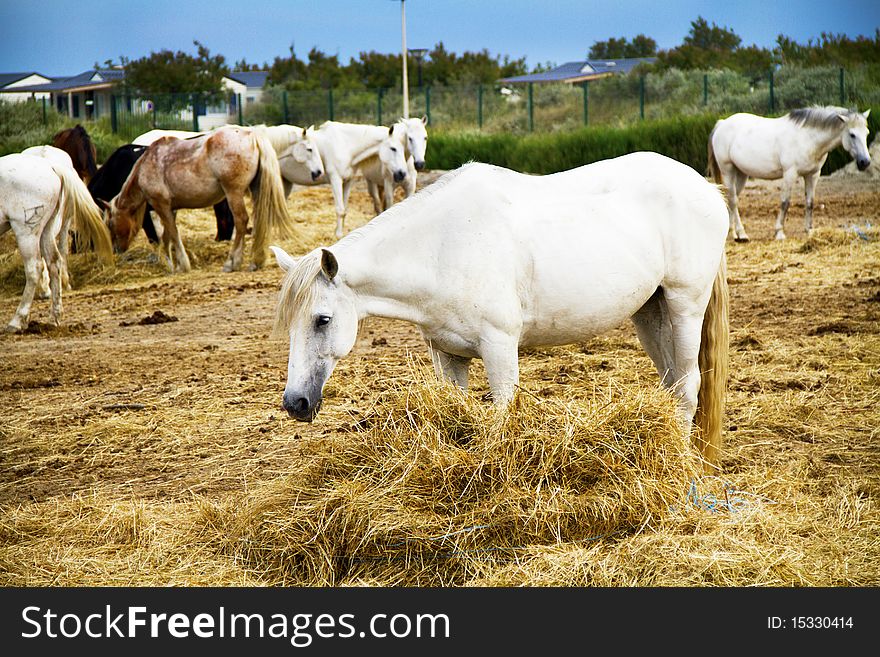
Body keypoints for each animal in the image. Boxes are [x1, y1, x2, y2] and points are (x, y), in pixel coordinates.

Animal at [0, 152, 113, 330]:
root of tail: (51, 166)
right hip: (47, 229)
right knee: (54, 263)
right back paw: (55, 316)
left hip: (26, 231)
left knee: (35, 268)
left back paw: (17, 320)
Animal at [102, 125, 288, 272]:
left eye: (110, 224)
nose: (116, 250)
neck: (145, 166)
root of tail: (251, 135)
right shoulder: (170, 208)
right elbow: (167, 235)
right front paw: (172, 265)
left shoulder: (160, 205)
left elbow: (172, 233)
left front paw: (180, 265)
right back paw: (256, 261)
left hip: (233, 193)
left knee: (241, 221)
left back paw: (231, 263)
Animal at [272, 152, 732, 472]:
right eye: (289, 327)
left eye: (322, 319)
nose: (295, 403)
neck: (442, 247)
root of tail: (708, 190)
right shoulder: (447, 355)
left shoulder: (499, 347)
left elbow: (501, 419)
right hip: (650, 313)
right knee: (672, 385)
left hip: (684, 305)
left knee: (688, 387)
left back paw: (686, 467)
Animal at [708, 105, 872, 241]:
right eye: (852, 134)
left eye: (867, 133)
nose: (865, 162)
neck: (808, 138)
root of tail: (722, 123)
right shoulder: (790, 174)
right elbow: (785, 202)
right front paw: (779, 232)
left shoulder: (813, 175)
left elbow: (810, 202)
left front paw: (809, 230)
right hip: (728, 170)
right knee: (733, 200)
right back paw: (742, 234)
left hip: (741, 174)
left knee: (730, 199)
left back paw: (732, 232)